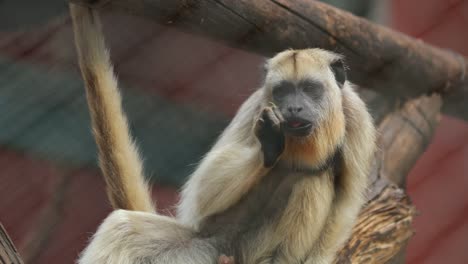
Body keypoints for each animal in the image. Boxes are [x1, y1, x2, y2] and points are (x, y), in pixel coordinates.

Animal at [69, 4, 376, 264]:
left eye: (310, 88)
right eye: (282, 91)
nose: (293, 108)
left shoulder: (357, 117)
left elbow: (345, 207)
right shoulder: (255, 106)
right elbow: (202, 194)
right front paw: (269, 145)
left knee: (313, 177)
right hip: (202, 248)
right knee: (123, 229)